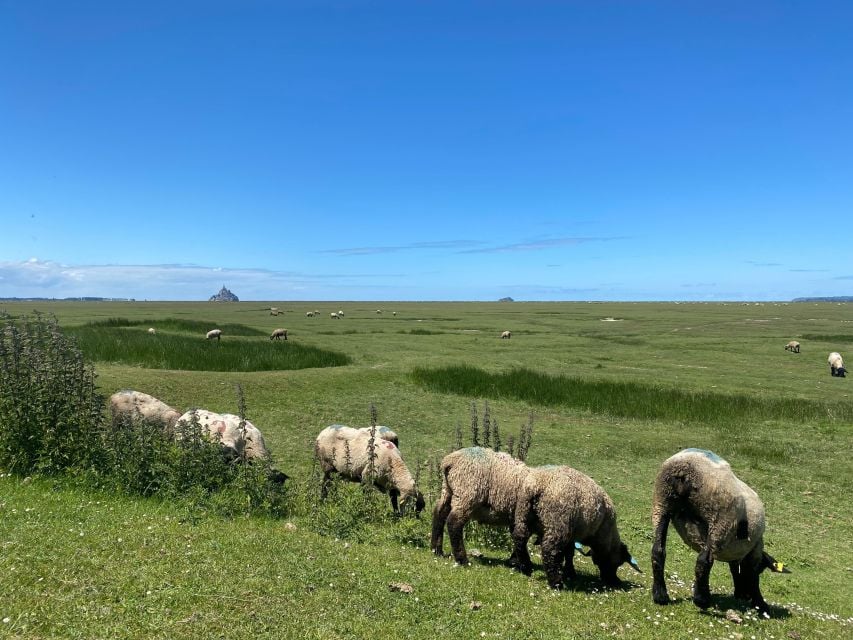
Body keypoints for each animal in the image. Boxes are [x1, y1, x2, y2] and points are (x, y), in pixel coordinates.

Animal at [506, 464, 640, 592]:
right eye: (619, 563)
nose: (615, 582)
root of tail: (537, 485)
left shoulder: (571, 535)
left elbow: (569, 553)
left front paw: (570, 573)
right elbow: (569, 554)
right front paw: (570, 573)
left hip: (523, 514)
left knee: (519, 538)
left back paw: (526, 567)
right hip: (558, 522)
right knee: (550, 551)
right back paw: (556, 583)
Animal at [648, 448, 788, 612]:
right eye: (762, 568)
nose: (744, 595)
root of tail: (684, 471)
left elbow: (734, 570)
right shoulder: (755, 550)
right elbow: (753, 577)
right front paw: (760, 604)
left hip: (662, 503)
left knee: (658, 550)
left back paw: (660, 595)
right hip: (721, 519)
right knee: (703, 560)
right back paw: (702, 600)